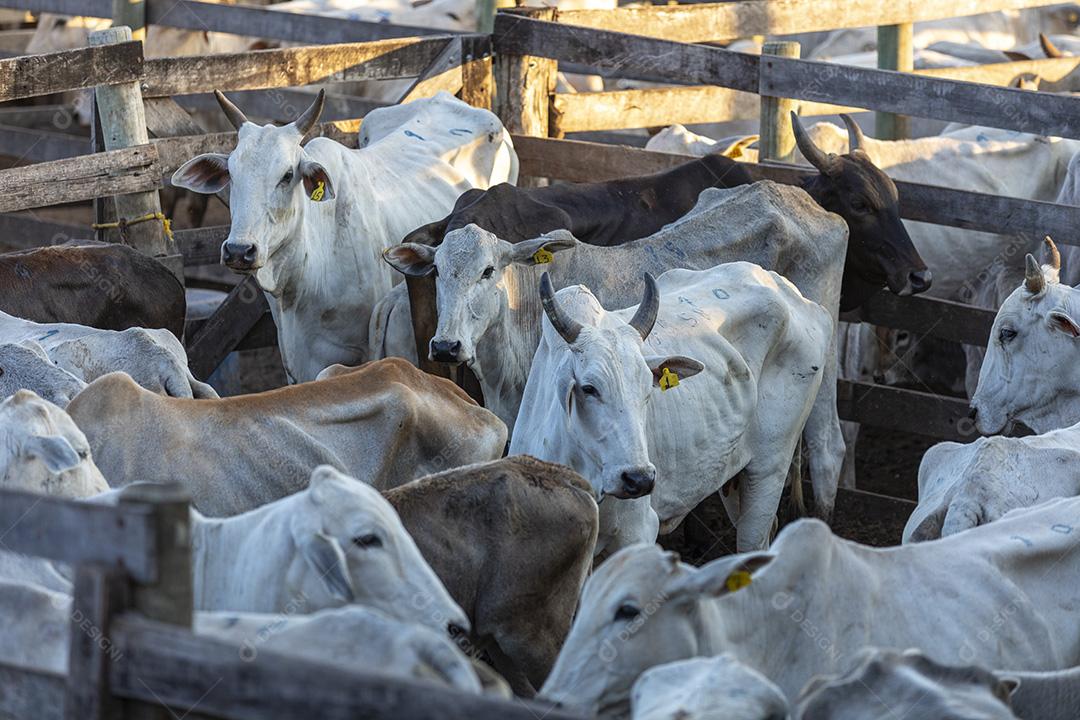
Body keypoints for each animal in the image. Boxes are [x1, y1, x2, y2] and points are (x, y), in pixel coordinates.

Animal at [512, 264, 831, 554]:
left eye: (647, 390)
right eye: (589, 388)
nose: (639, 479)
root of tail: (795, 295)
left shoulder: (637, 533)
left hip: (768, 468)